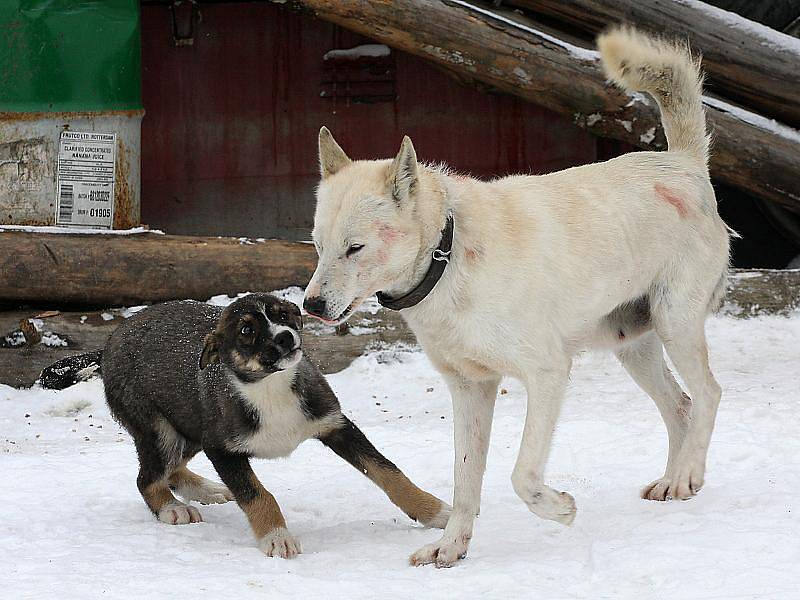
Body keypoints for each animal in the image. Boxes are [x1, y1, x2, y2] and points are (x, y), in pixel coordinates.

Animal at [101, 294, 450, 556]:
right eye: (246, 330)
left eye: (283, 314)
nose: (285, 337)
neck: (271, 387)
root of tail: (108, 343)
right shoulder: (221, 448)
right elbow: (257, 494)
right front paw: (277, 537)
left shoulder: (336, 425)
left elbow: (388, 472)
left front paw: (435, 512)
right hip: (160, 430)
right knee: (147, 478)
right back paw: (172, 508)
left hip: (188, 426)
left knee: (170, 469)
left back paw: (208, 490)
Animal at [302, 29, 732, 568]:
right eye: (318, 246)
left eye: (354, 248)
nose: (310, 306)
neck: (448, 258)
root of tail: (683, 163)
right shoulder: (470, 389)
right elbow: (466, 482)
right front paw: (451, 547)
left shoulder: (547, 374)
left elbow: (522, 475)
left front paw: (561, 508)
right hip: (632, 347)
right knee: (680, 406)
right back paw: (672, 481)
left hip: (676, 324)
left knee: (709, 395)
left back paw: (687, 475)